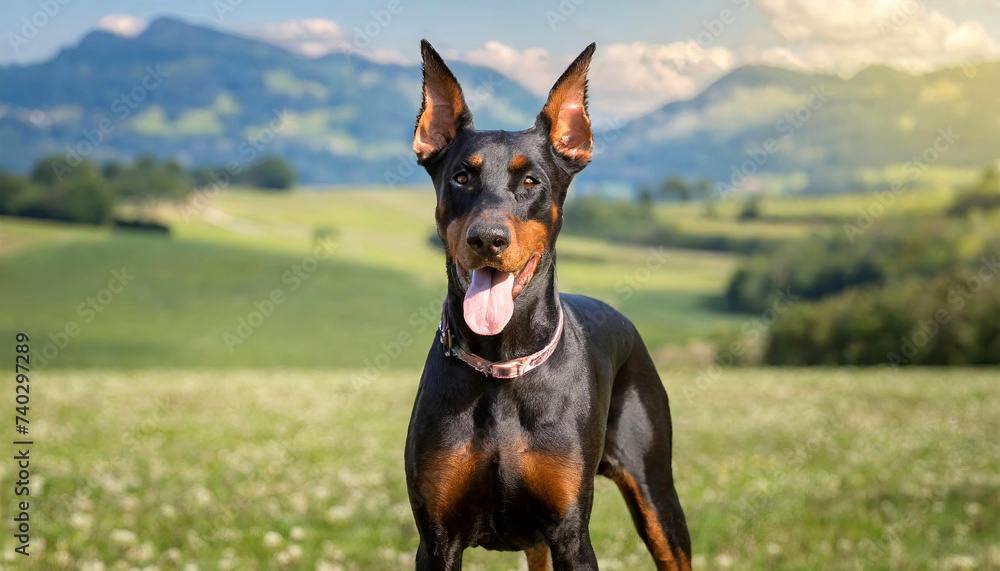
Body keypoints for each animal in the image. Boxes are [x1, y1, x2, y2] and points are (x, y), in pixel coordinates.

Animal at [402, 41, 692, 571]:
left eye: (532, 181)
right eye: (461, 176)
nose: (487, 239)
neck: (502, 365)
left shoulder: (571, 535)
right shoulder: (436, 539)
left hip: (656, 494)